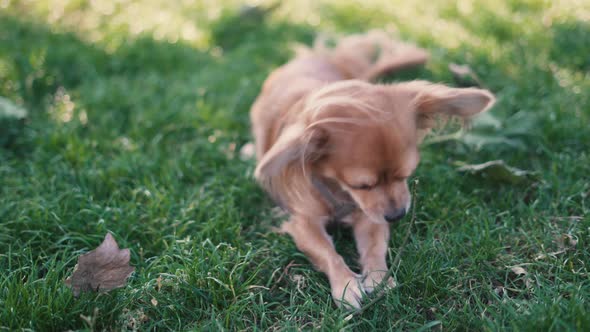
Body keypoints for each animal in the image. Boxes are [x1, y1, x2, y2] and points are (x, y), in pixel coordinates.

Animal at [252, 31, 498, 308]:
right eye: (362, 185)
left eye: (406, 175)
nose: (397, 215)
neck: (338, 191)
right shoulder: (303, 223)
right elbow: (327, 252)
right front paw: (346, 284)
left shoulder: (370, 216)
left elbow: (374, 246)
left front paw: (378, 277)